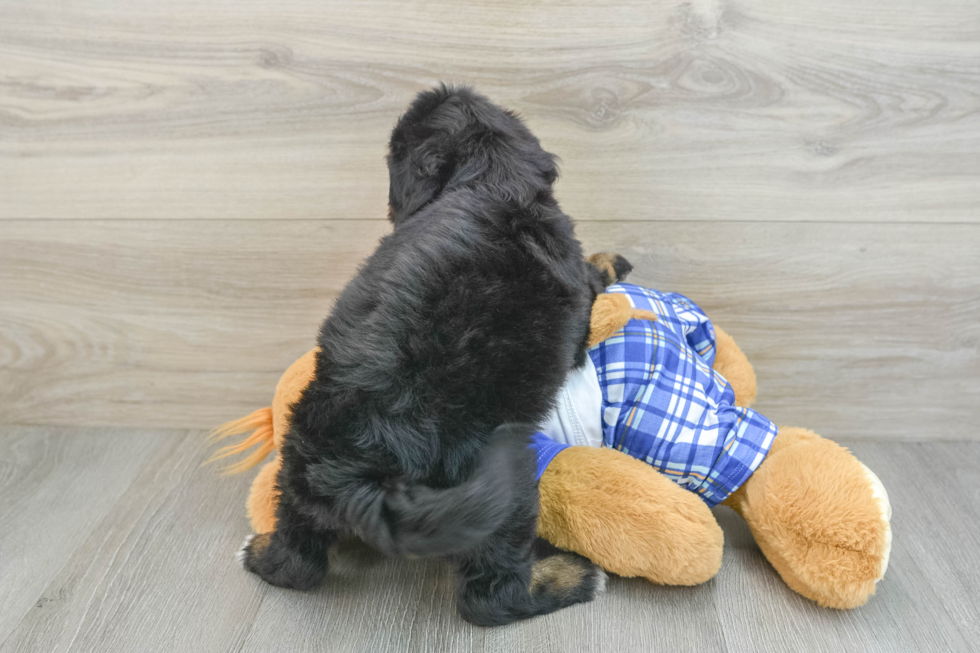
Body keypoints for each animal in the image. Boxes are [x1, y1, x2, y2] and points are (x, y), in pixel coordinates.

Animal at [238, 85, 616, 628]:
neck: (495, 181)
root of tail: (368, 472)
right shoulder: (579, 293)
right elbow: (592, 282)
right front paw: (607, 262)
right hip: (506, 493)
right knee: (492, 598)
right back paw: (573, 578)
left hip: (298, 461)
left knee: (299, 561)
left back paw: (261, 552)